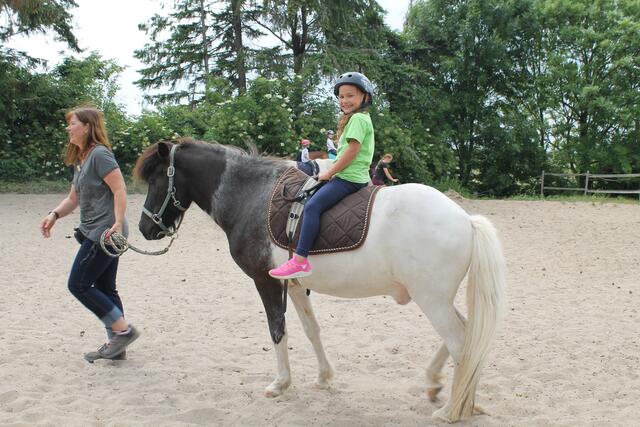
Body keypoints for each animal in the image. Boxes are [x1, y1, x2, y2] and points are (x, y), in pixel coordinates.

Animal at [134, 140, 506, 423]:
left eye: (156, 180)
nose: (145, 228)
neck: (253, 196)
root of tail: (466, 220)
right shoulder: (295, 285)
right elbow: (311, 330)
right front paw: (324, 377)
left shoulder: (266, 282)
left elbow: (277, 330)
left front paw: (281, 383)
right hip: (437, 299)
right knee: (467, 333)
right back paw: (438, 386)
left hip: (432, 299)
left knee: (460, 342)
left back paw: (452, 410)